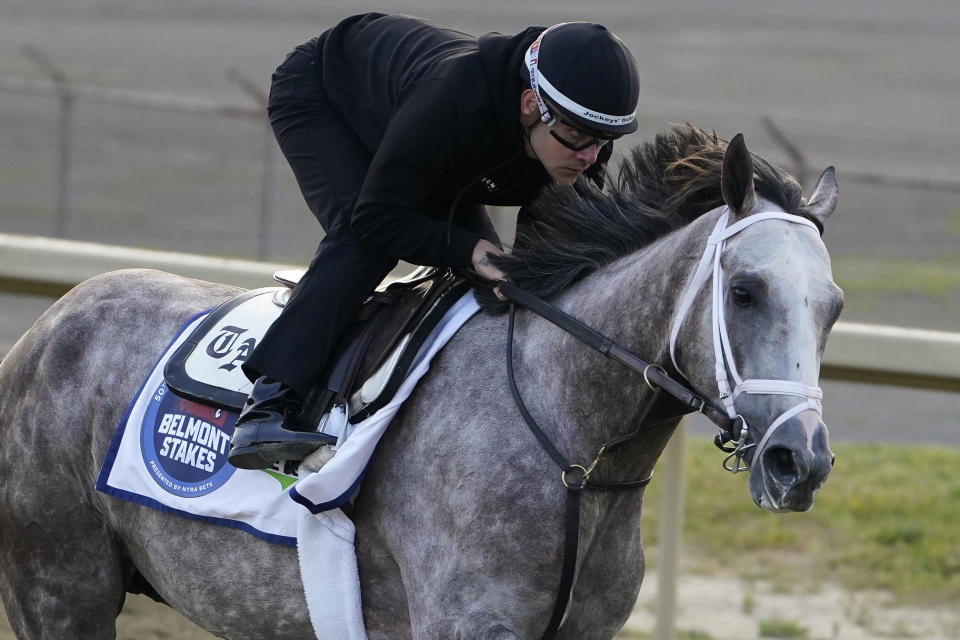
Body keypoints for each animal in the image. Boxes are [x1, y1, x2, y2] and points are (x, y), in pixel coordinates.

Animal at [0, 127, 840, 636]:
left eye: (833, 307)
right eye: (745, 292)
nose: (799, 461)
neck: (572, 449)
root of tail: (44, 327)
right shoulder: (464, 624)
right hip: (60, 589)